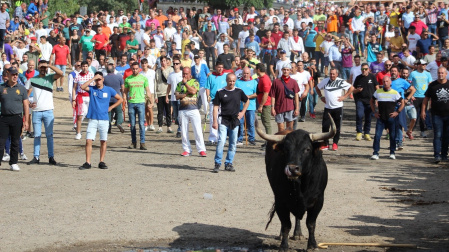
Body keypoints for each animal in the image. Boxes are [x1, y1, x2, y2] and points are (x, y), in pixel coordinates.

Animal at [256, 116, 336, 250]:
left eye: (307, 149)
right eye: (286, 149)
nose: (292, 169)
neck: (301, 185)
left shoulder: (318, 200)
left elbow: (311, 224)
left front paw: (312, 244)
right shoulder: (281, 200)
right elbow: (286, 224)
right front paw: (284, 246)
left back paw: (298, 233)